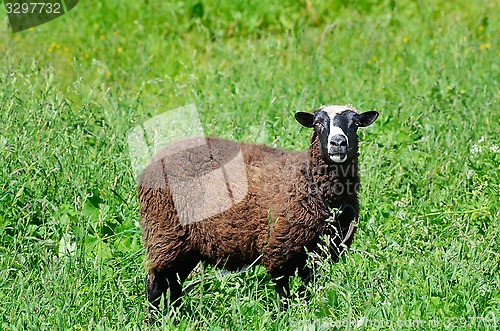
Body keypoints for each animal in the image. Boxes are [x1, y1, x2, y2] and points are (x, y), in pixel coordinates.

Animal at [137, 105, 378, 312]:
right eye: (318, 123)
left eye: (355, 124)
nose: (338, 143)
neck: (308, 180)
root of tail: (154, 160)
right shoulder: (280, 247)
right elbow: (283, 291)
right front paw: (284, 316)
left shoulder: (319, 254)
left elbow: (306, 291)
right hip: (164, 232)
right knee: (156, 284)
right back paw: (154, 318)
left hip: (184, 245)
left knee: (174, 283)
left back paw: (175, 316)